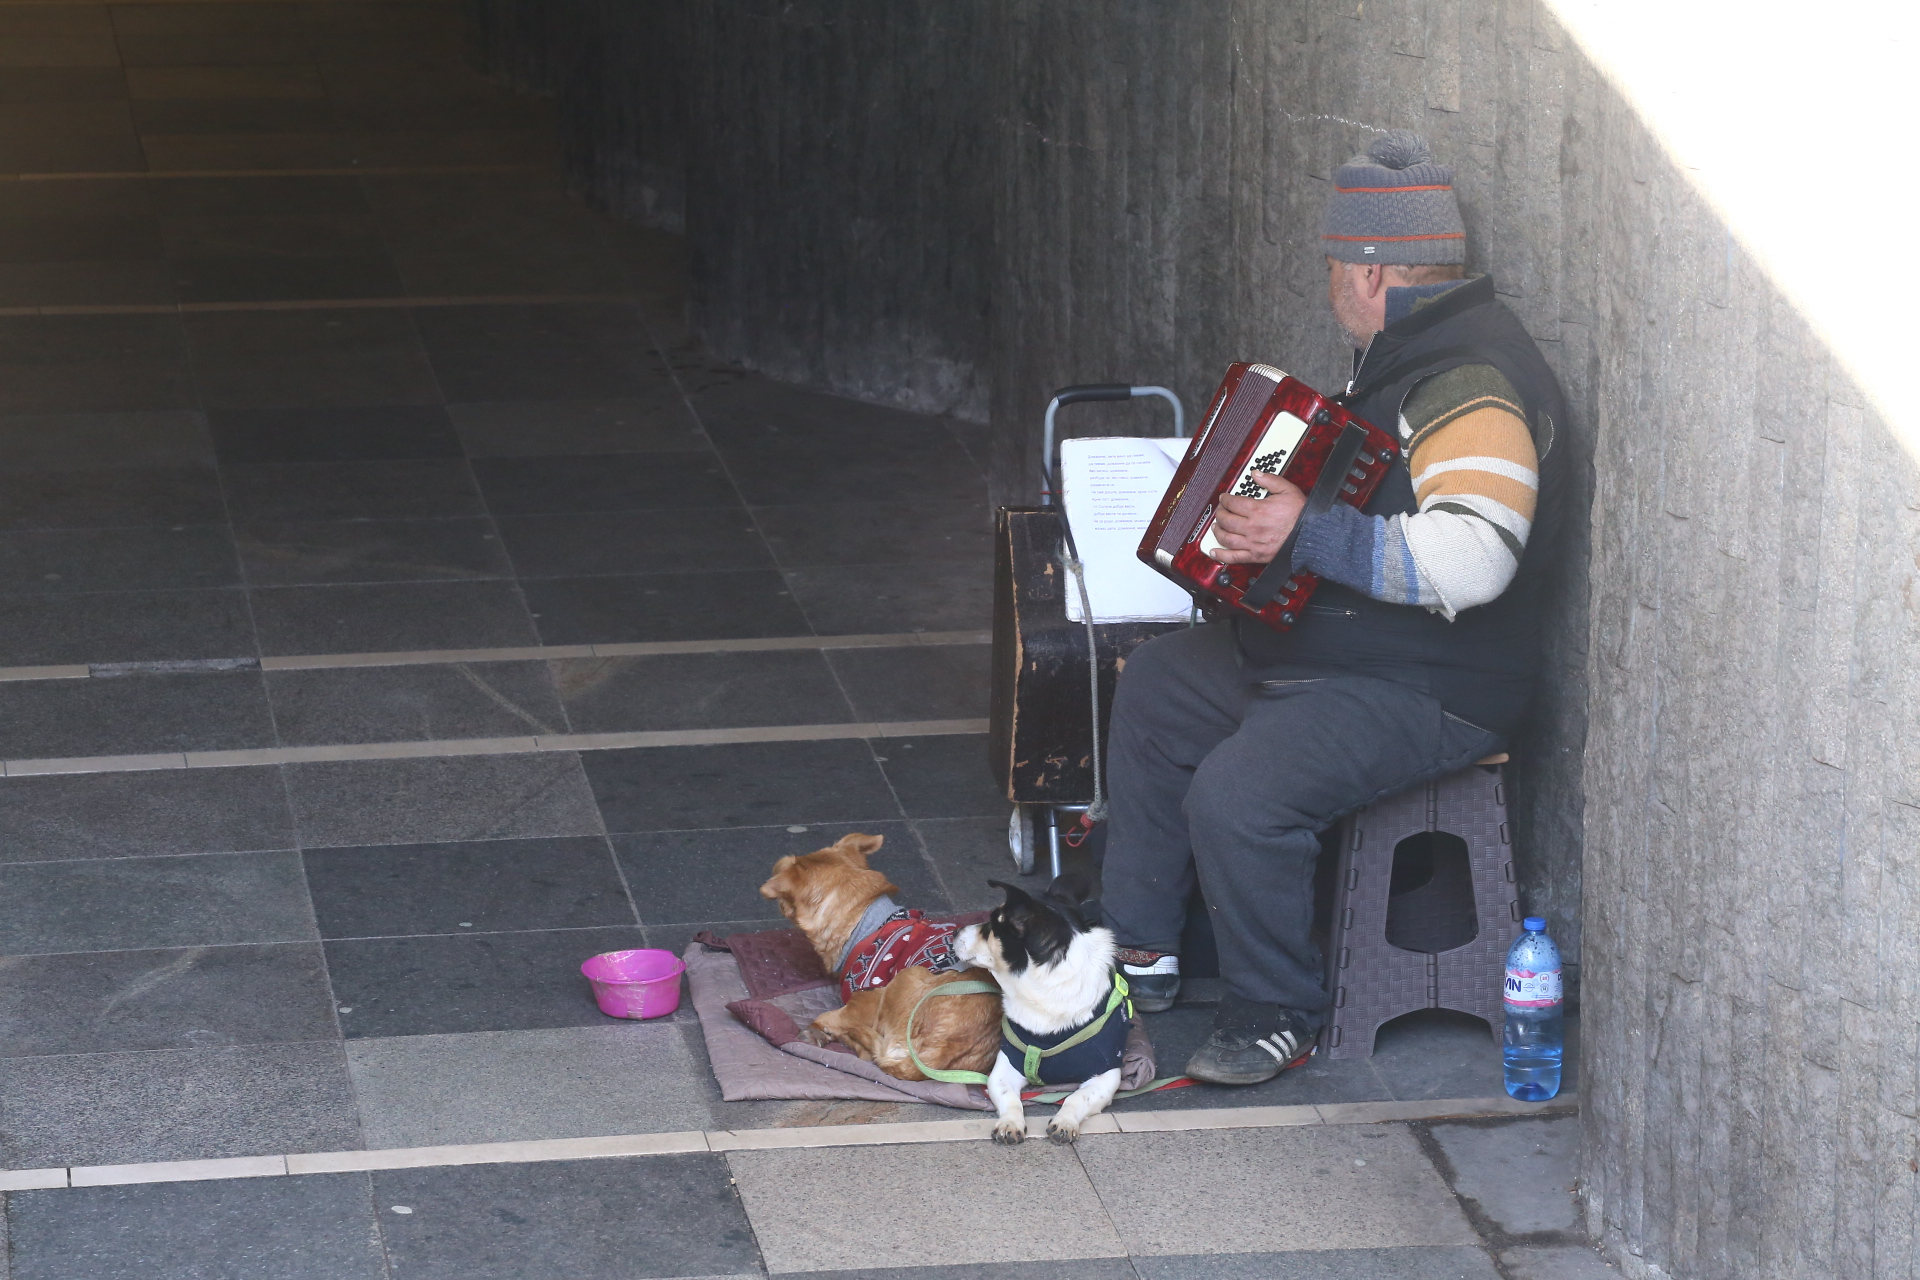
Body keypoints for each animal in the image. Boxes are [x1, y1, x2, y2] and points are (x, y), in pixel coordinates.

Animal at [760, 836, 1006, 1090]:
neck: (866, 924)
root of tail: (935, 1055)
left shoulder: (862, 1003)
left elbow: (826, 1018)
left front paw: (820, 1031)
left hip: (906, 976)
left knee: (869, 1052)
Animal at [952, 886, 1128, 1143]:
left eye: (990, 927)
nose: (955, 930)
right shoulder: (1006, 1066)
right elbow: (1009, 1097)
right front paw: (1010, 1123)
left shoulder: (1106, 1074)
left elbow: (1076, 1097)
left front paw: (1065, 1122)